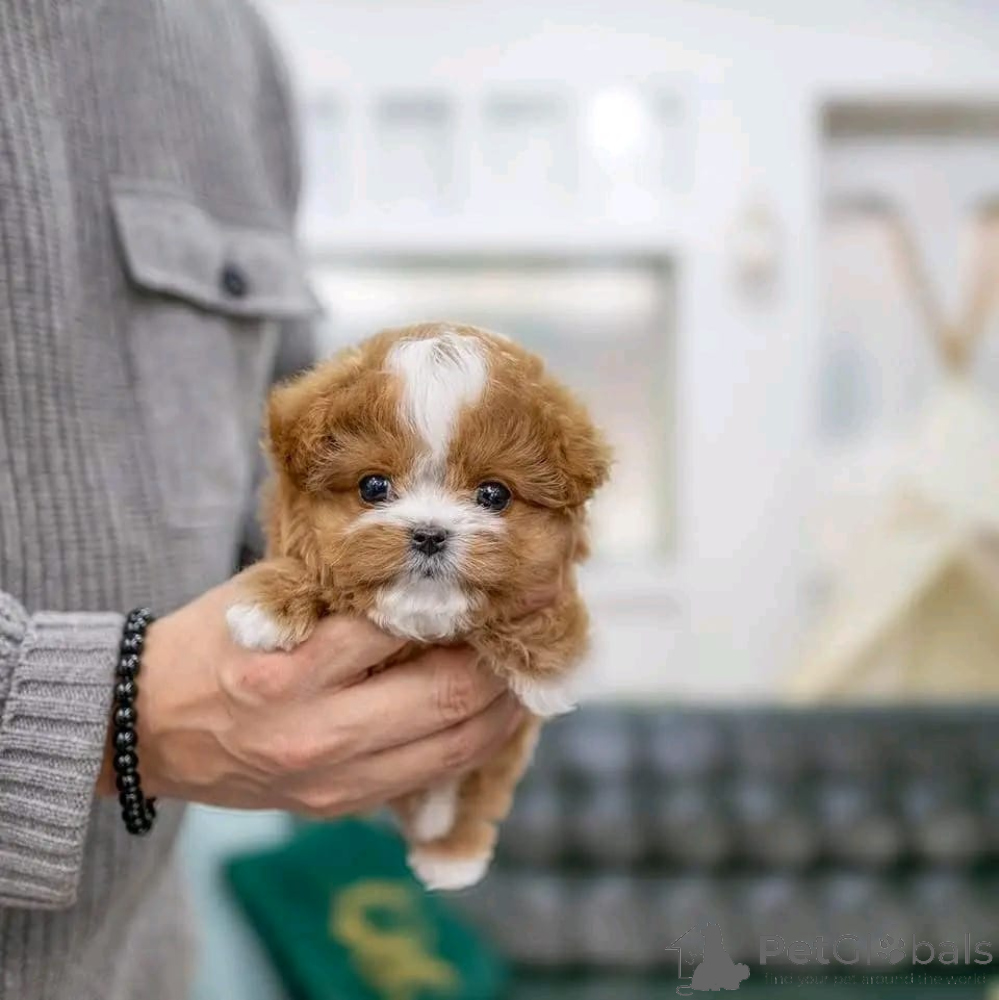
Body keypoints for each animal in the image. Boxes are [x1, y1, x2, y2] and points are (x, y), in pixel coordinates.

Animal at [226, 322, 610, 889]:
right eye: (373, 486)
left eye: (494, 495)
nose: (429, 534)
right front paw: (269, 605)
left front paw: (549, 664)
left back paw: (451, 856)